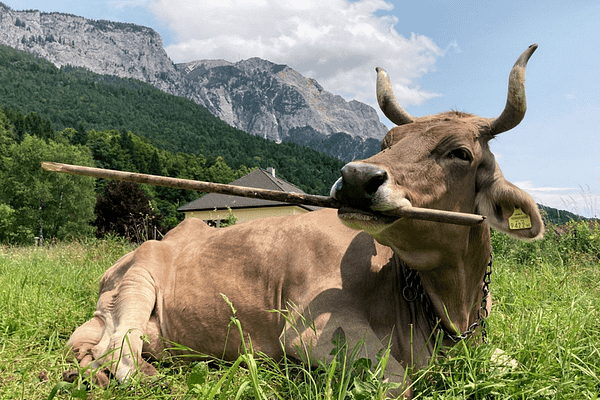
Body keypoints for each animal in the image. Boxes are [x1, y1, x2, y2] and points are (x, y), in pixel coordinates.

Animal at [66, 44, 543, 397]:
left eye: (460, 153)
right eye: (387, 141)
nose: (356, 178)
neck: (449, 309)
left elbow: (515, 361)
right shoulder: (315, 332)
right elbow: (398, 384)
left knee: (92, 347)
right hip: (138, 280)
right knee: (117, 355)